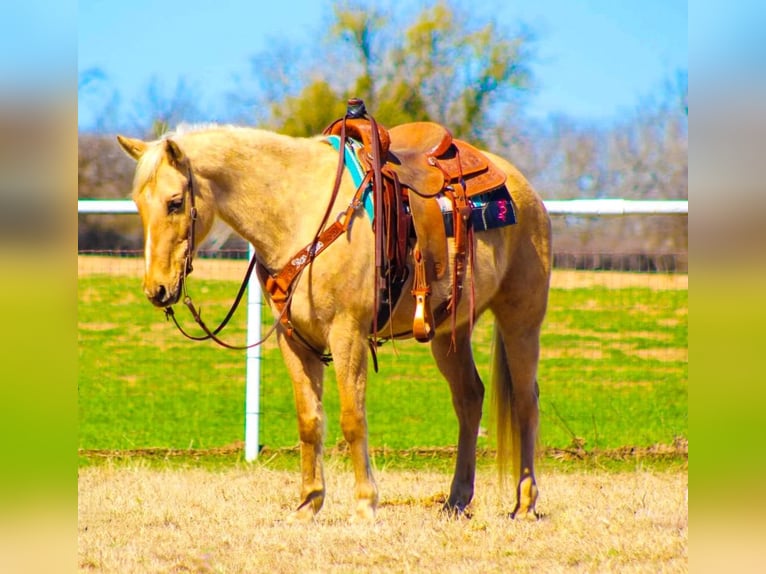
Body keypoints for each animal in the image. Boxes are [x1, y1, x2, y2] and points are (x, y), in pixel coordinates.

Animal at [117, 121, 552, 520]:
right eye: (138, 204)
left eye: (175, 202)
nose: (157, 289)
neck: (299, 212)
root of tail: (523, 188)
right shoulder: (293, 339)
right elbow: (310, 420)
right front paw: (308, 504)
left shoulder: (347, 334)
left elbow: (351, 417)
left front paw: (364, 504)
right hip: (449, 332)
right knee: (469, 399)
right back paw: (456, 500)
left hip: (521, 321)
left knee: (526, 403)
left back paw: (525, 503)